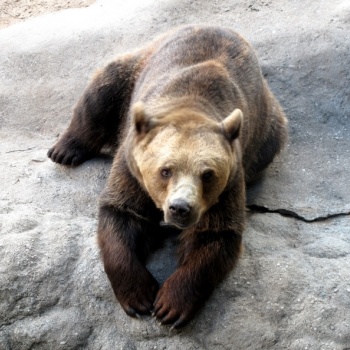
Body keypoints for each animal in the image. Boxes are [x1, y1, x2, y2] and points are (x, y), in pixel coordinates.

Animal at [47, 25, 288, 328]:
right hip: (133, 70)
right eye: (165, 170)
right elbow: (121, 214)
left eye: (207, 174)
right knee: (102, 90)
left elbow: (215, 236)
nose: (180, 208)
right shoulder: (131, 170)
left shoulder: (229, 184)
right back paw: (64, 150)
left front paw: (170, 305)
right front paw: (138, 295)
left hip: (267, 129)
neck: (191, 103)